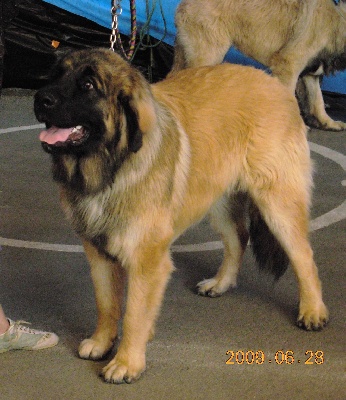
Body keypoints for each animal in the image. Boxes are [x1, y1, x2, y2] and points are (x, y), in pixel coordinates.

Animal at [33, 48, 328, 382]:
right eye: (57, 74)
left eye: (87, 85)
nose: (40, 98)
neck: (111, 168)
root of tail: (272, 83)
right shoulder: (98, 254)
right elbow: (106, 304)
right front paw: (101, 343)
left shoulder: (147, 260)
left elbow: (133, 313)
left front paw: (127, 362)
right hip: (218, 200)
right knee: (238, 238)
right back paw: (221, 283)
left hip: (277, 204)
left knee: (303, 256)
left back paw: (313, 310)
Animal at [171, 0, 346, 131]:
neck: (337, 19)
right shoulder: (288, 65)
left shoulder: (310, 73)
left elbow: (318, 101)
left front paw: (328, 123)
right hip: (210, 54)